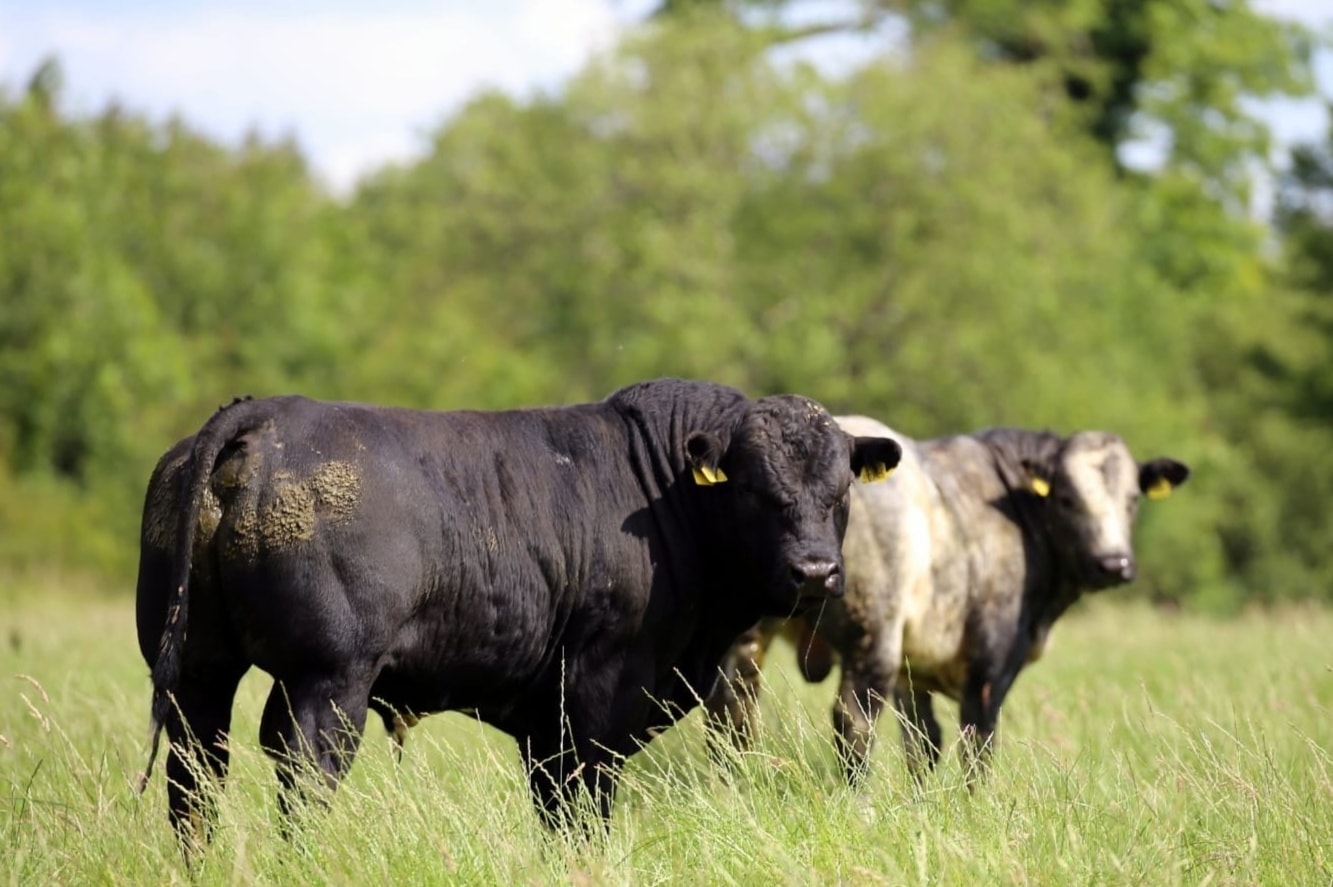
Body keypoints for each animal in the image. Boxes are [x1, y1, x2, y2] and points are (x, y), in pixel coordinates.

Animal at [134, 379, 901, 841]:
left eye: (841, 490)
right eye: (750, 487)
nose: (815, 570)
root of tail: (265, 412)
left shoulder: (545, 721)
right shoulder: (595, 693)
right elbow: (584, 805)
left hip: (199, 673)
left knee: (195, 780)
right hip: (326, 680)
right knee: (301, 779)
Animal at [705, 417, 1189, 785]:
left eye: (1132, 500)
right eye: (1068, 499)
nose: (1114, 563)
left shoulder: (914, 669)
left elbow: (924, 744)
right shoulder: (990, 663)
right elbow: (977, 744)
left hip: (748, 634)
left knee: (730, 707)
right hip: (873, 632)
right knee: (852, 719)